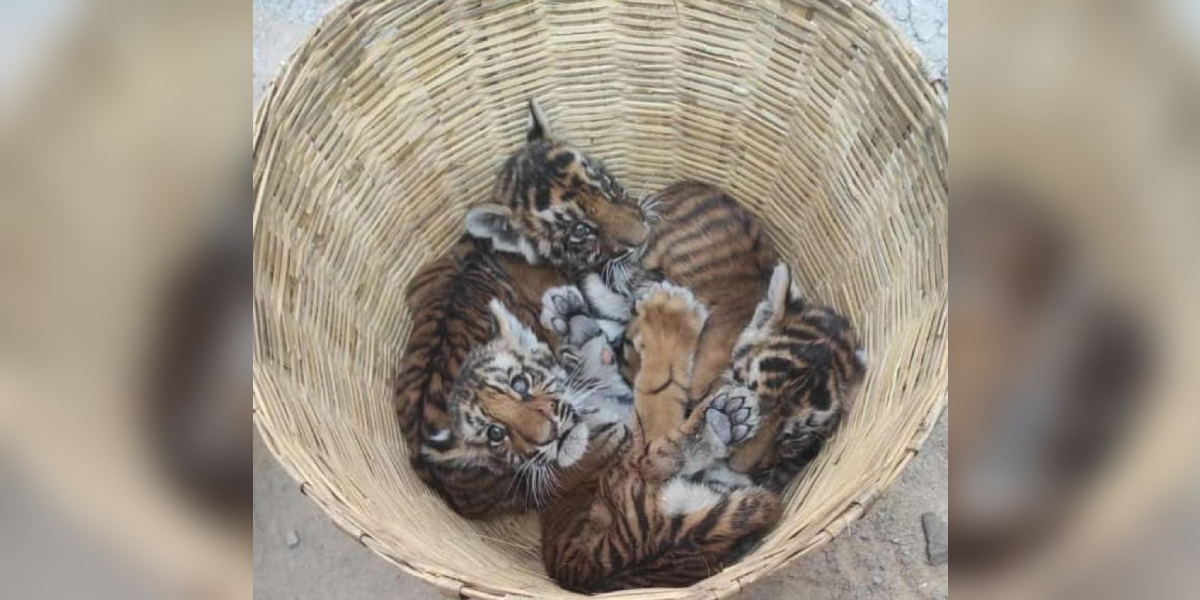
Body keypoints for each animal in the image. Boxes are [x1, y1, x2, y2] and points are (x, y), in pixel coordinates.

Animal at [540, 268, 865, 592]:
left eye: (791, 435)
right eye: (747, 386)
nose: (738, 465)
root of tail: (588, 569)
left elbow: (655, 386)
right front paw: (570, 313)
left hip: (626, 462)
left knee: (651, 450)